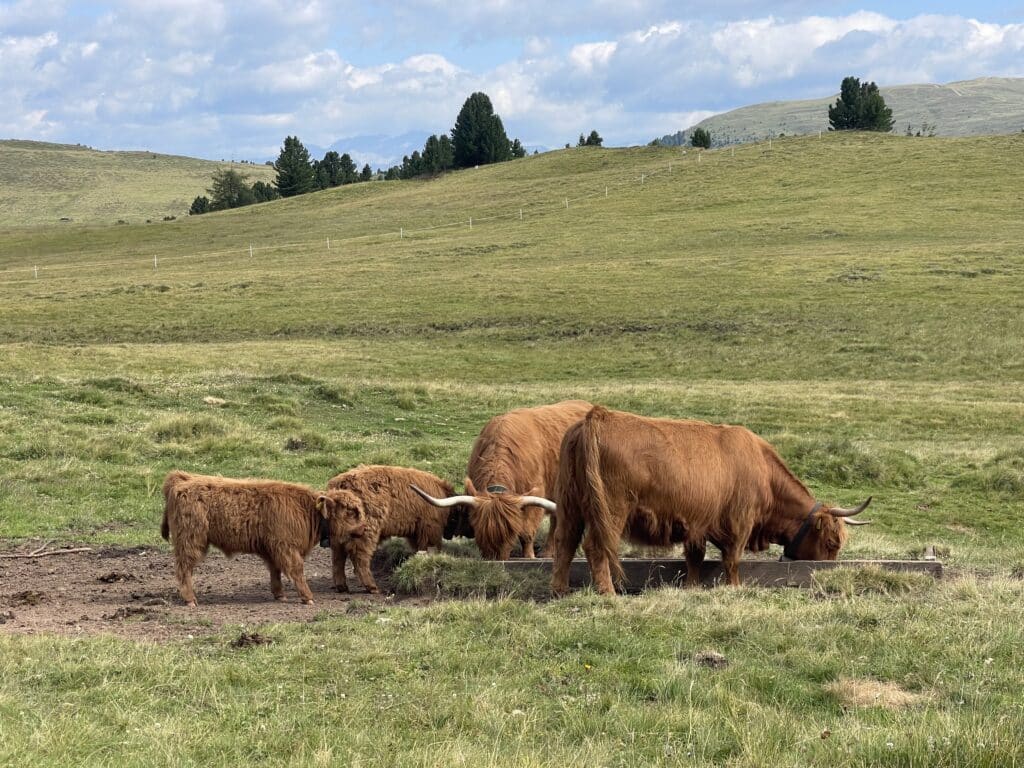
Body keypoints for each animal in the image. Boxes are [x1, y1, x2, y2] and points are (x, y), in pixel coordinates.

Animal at [160, 470, 323, 606]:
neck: (304, 509)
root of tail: (183, 479)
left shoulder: (273, 549)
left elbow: (275, 571)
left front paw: (280, 595)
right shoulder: (286, 546)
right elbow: (296, 570)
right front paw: (308, 597)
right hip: (190, 540)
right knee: (184, 568)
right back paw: (190, 599)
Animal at [318, 465, 462, 594]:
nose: (450, 535)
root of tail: (341, 486)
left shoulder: (416, 534)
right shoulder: (429, 531)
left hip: (338, 535)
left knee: (338, 558)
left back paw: (342, 587)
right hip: (366, 533)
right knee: (359, 557)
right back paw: (372, 587)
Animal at [411, 400, 593, 560]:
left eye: (510, 534)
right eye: (480, 532)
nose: (496, 559)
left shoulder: (535, 498)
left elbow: (527, 533)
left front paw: (529, 556)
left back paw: (548, 552)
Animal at [550, 406, 871, 595]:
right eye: (832, 543)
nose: (828, 576)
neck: (764, 473)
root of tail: (597, 417)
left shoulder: (697, 524)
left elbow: (695, 557)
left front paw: (691, 588)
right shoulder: (740, 521)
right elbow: (732, 560)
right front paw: (735, 589)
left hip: (569, 505)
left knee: (565, 544)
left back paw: (559, 590)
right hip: (612, 510)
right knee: (595, 547)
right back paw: (608, 593)